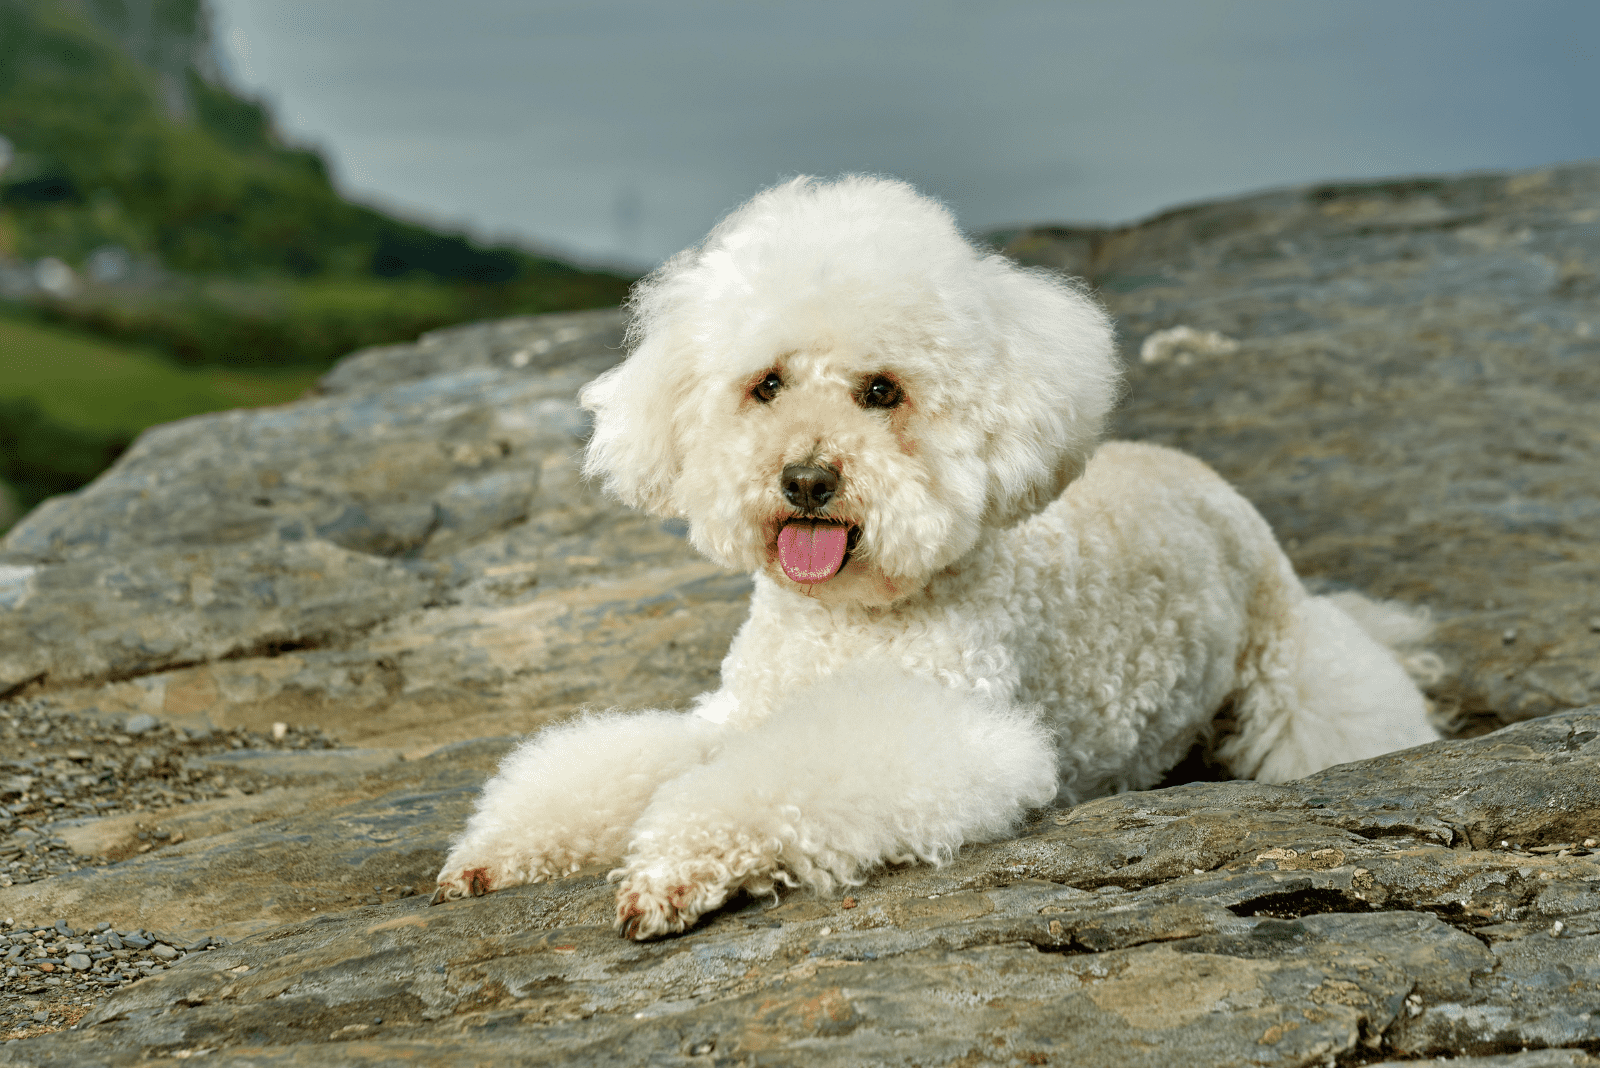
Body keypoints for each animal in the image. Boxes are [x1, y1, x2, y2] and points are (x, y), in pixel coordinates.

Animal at [432, 173, 1446, 933]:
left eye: (882, 391)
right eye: (767, 384)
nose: (806, 479)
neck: (843, 621)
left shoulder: (953, 728)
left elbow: (769, 786)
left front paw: (675, 865)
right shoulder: (736, 715)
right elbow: (628, 765)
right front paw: (497, 851)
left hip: (1298, 679)